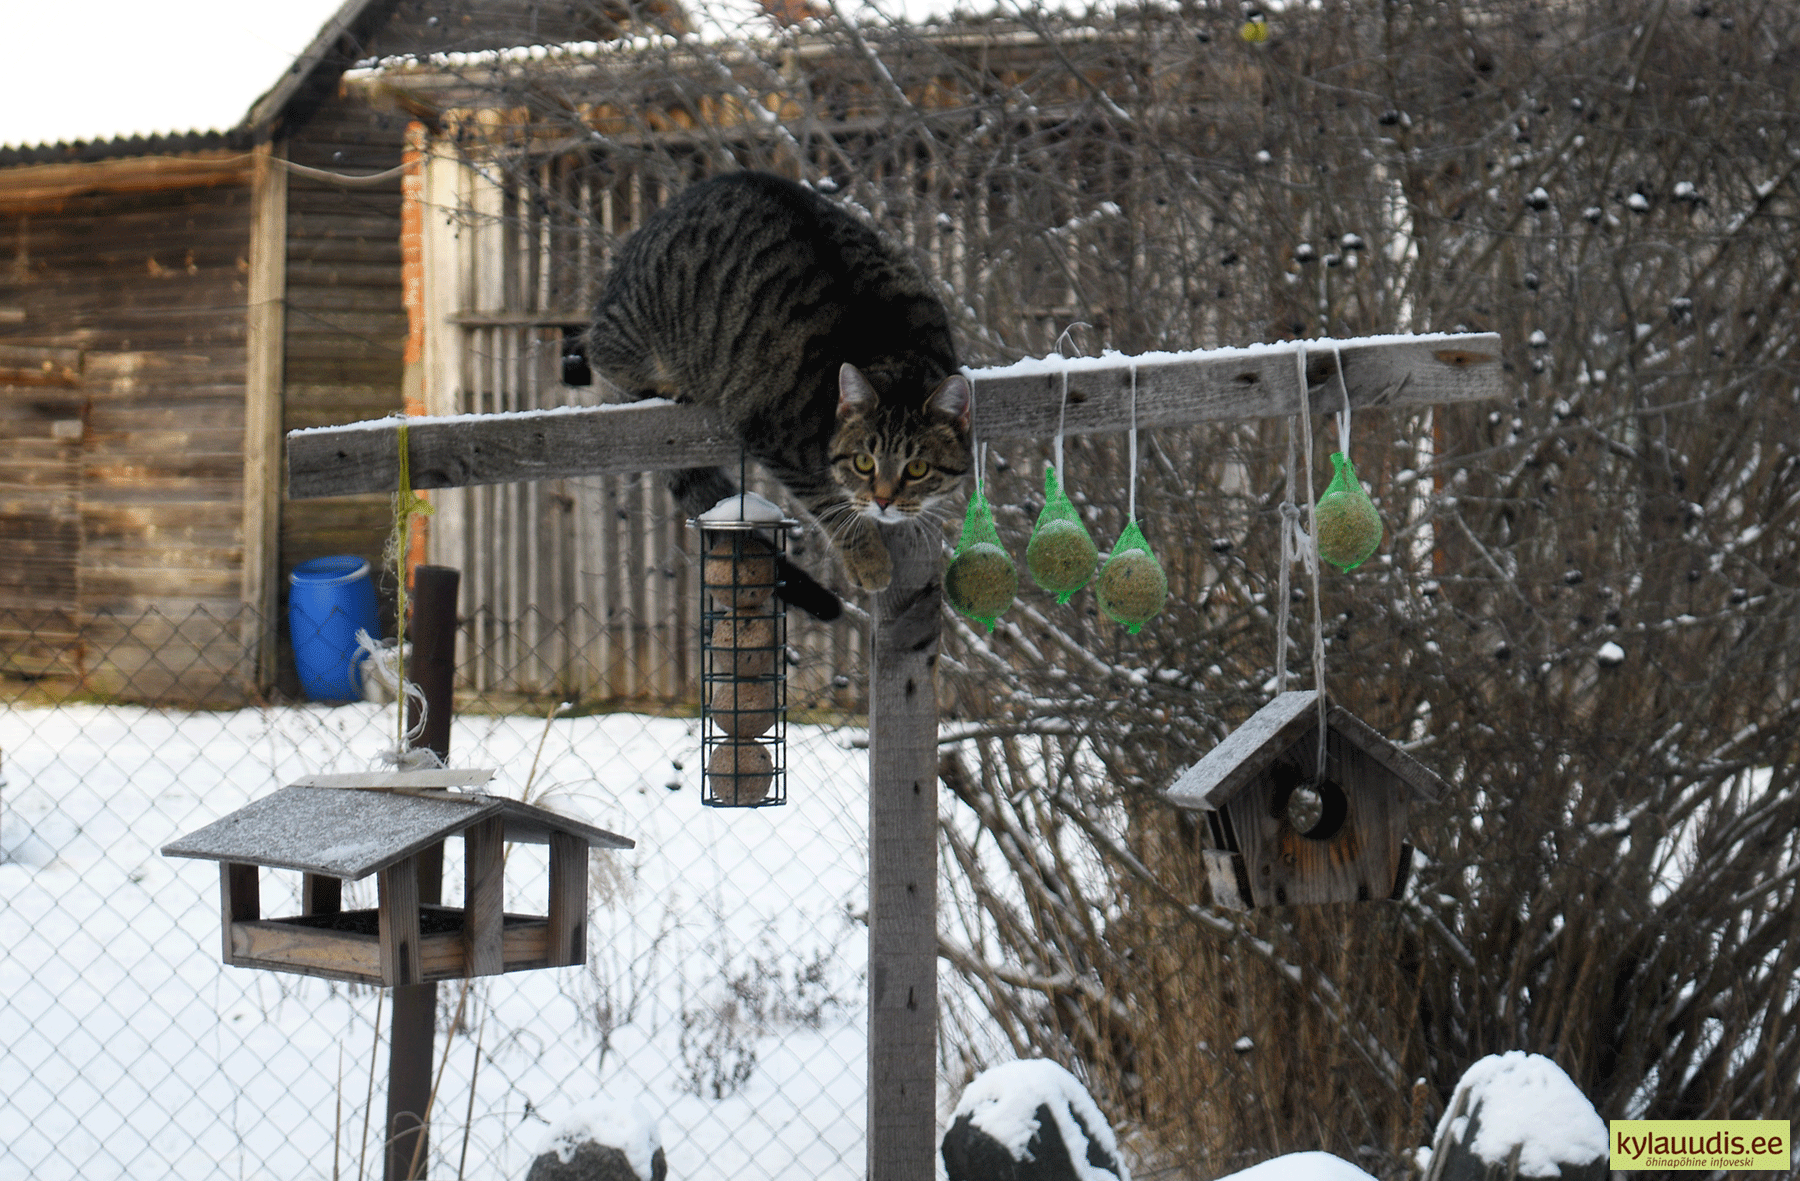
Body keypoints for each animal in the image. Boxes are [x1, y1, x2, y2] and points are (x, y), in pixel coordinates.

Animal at [585, 170, 971, 620]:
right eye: (863, 462)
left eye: (918, 469)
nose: (883, 501)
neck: (890, 347)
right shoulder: (772, 435)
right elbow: (831, 506)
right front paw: (868, 559)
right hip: (632, 326)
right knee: (598, 349)